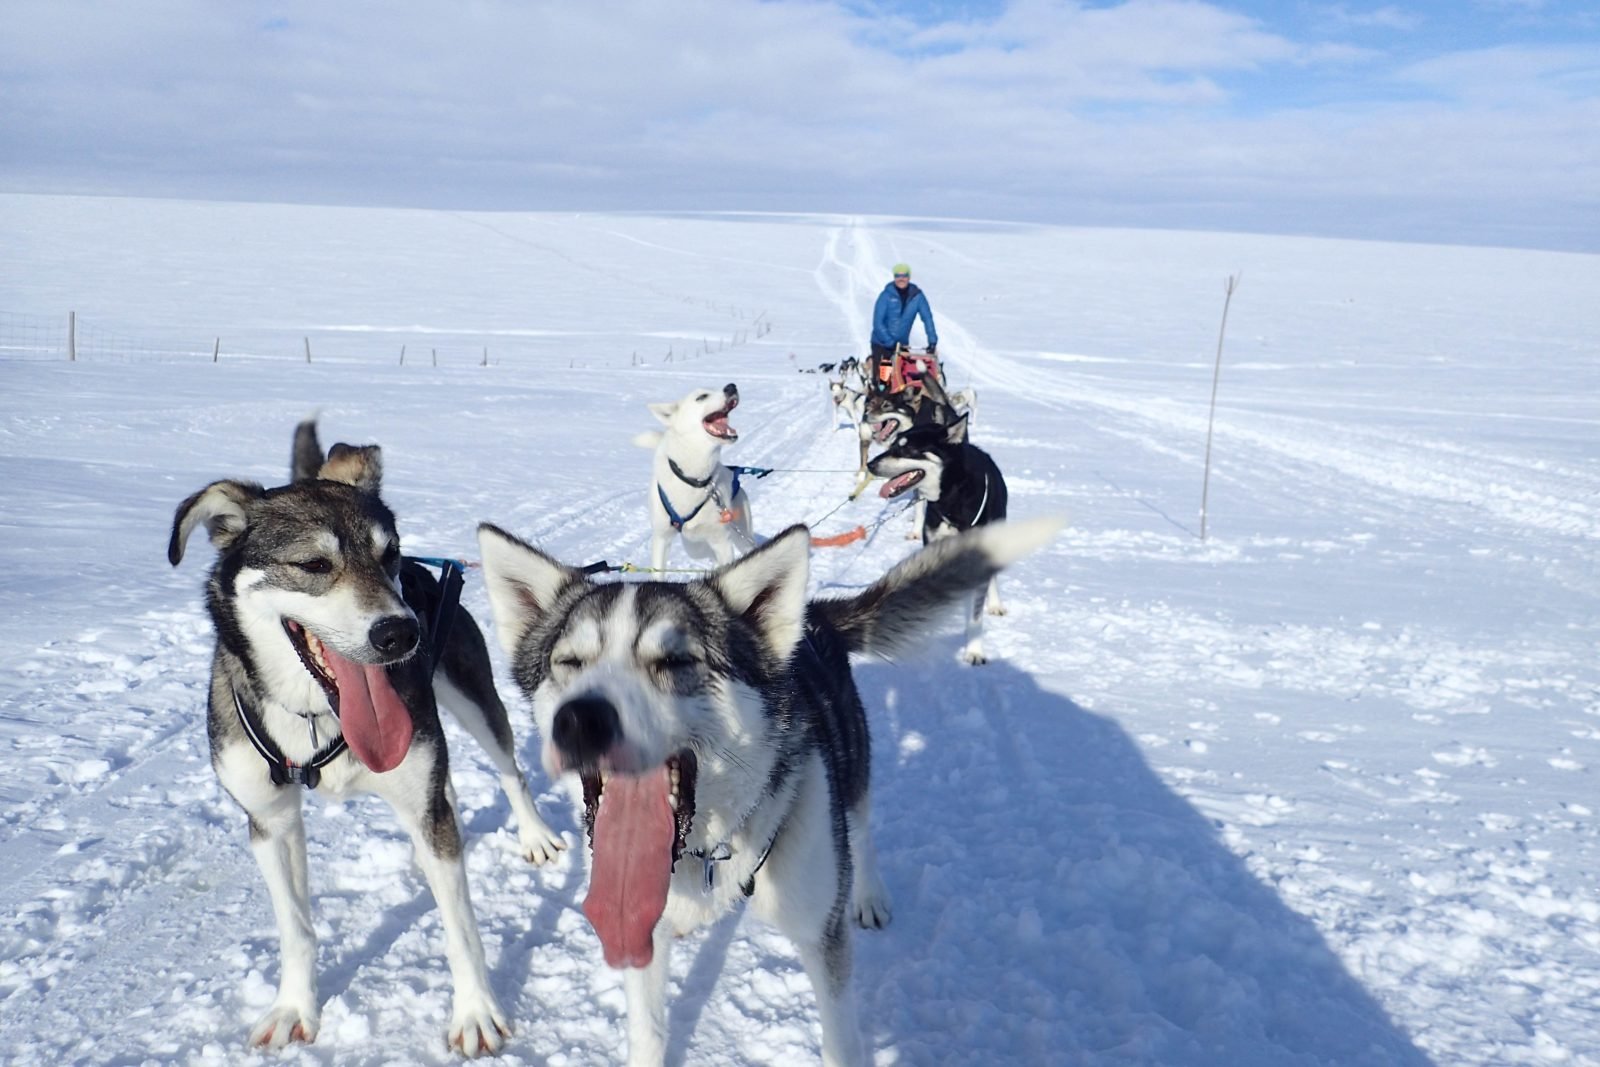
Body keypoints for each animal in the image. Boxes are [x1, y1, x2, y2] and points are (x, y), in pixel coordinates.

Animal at [168, 422, 566, 1055]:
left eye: (389, 555)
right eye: (312, 563)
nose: (401, 632)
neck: (314, 718)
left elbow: (461, 928)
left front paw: (476, 1012)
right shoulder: (269, 823)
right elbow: (296, 928)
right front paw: (294, 1007)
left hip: (475, 703)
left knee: (508, 772)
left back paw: (533, 836)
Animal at [480, 515, 1068, 1062]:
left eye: (676, 660)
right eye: (569, 662)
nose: (579, 720)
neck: (709, 852)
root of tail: (814, 615)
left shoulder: (822, 937)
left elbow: (840, 1041)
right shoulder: (639, 933)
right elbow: (648, 1033)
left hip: (853, 777)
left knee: (862, 833)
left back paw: (870, 896)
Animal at [633, 382, 752, 572]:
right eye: (702, 397)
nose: (731, 386)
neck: (694, 480)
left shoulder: (722, 542)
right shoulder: (661, 538)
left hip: (740, 536)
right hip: (694, 547)